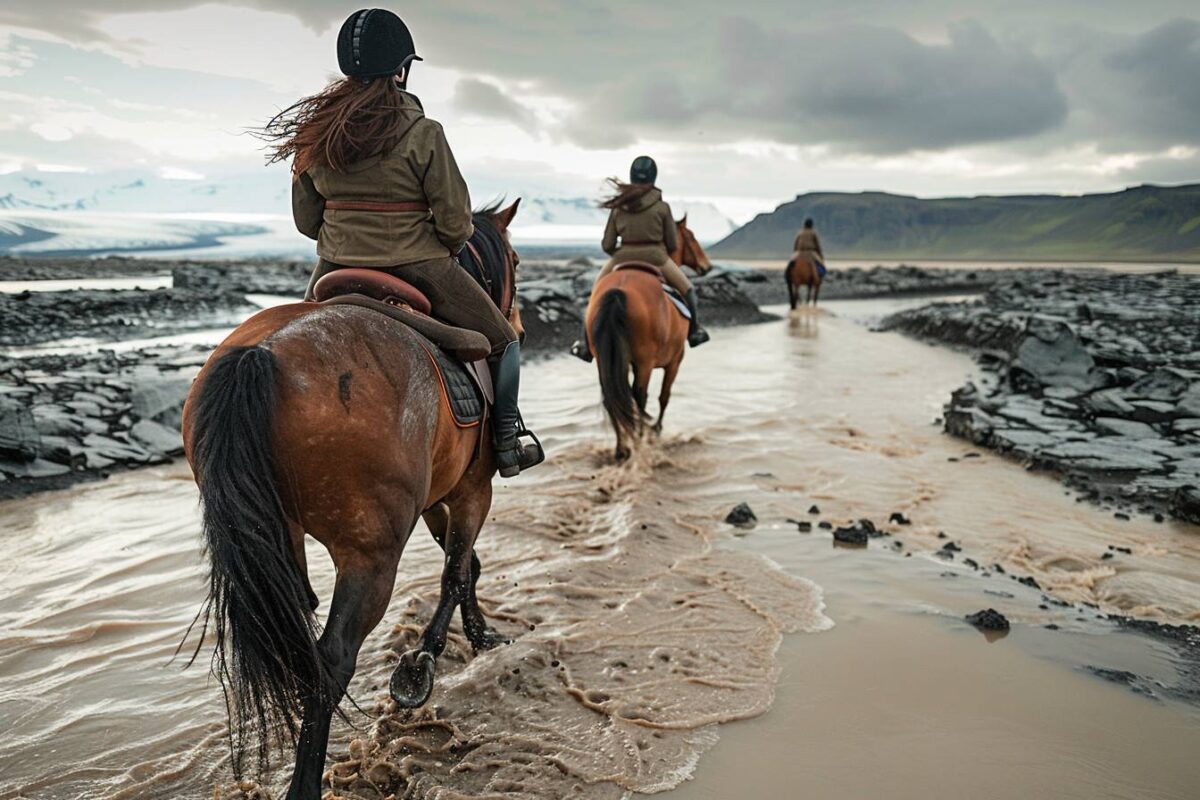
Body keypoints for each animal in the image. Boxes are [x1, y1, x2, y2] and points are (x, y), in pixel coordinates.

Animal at [181, 201, 525, 800]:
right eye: (519, 261)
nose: (520, 323)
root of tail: (261, 354)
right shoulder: (471, 490)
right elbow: (457, 572)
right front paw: (422, 664)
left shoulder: (438, 499)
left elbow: (468, 567)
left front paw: (479, 635)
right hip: (371, 553)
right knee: (333, 657)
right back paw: (305, 783)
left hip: (278, 540)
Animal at [583, 215, 705, 460]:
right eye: (692, 237)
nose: (707, 265)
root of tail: (617, 291)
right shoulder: (675, 361)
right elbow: (664, 396)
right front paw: (656, 429)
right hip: (645, 363)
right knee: (639, 397)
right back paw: (639, 440)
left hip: (604, 360)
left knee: (614, 398)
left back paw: (622, 448)